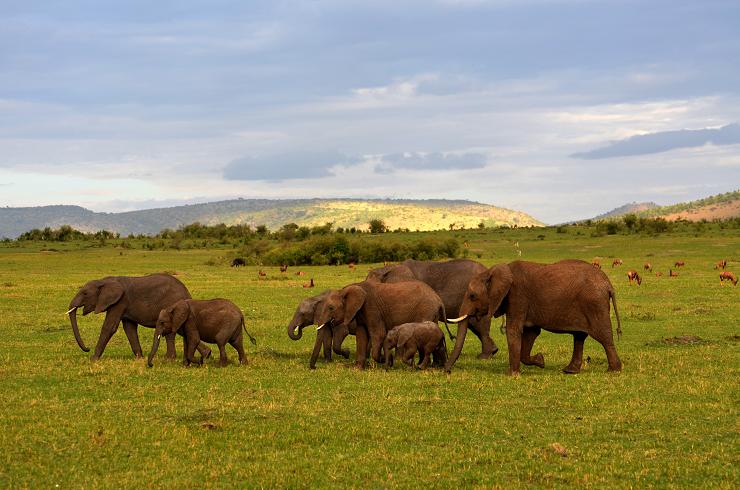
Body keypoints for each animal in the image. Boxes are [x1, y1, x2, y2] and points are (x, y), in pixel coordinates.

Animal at [67, 274, 211, 362]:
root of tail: (187, 293)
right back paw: (207, 354)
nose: (87, 348)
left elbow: (110, 327)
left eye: (85, 293)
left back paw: (169, 358)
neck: (104, 280)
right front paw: (139, 358)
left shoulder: (120, 302)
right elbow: (129, 328)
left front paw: (93, 359)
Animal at [314, 280, 446, 368]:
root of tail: (439, 299)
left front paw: (387, 360)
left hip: (426, 311)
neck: (347, 289)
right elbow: (361, 335)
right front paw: (358, 368)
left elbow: (378, 334)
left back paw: (421, 366)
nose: (314, 367)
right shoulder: (360, 312)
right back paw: (436, 365)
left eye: (331, 308)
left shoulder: (372, 308)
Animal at [446, 260, 624, 376]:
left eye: (472, 296)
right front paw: (540, 361)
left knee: (603, 336)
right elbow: (531, 333)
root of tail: (609, 285)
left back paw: (614, 370)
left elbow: (513, 330)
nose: (446, 371)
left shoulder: (517, 296)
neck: (494, 271)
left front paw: (512, 375)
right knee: (579, 337)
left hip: (595, 304)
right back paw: (570, 371)